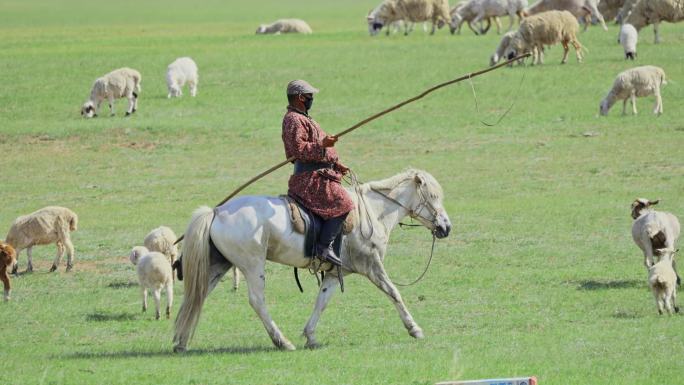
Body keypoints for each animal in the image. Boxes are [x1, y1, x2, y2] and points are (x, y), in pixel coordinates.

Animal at [172, 168, 448, 352]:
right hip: (252, 265)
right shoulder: (372, 267)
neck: (373, 212)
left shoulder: (336, 273)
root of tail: (217, 211)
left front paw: (311, 336)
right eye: (434, 197)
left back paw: (180, 342)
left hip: (218, 266)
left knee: (197, 296)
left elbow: (321, 302)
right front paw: (414, 329)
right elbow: (394, 293)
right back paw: (282, 341)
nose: (446, 227)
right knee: (257, 301)